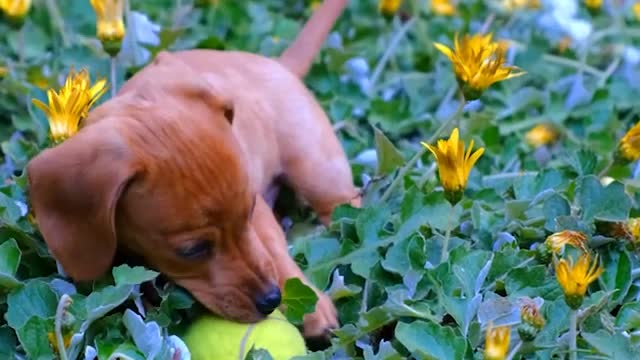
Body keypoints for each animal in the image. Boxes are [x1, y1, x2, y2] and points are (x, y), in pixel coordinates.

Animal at [27, 0, 358, 338]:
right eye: (192, 250)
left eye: (249, 213)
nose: (272, 300)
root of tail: (279, 65)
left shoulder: (261, 216)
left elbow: (273, 249)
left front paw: (312, 305)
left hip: (318, 171)